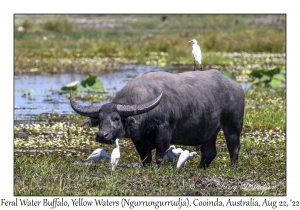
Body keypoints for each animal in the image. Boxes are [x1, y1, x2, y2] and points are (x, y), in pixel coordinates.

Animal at [70, 70, 244, 169]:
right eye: (99, 119)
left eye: (116, 118)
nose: (102, 136)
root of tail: (237, 87)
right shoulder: (139, 140)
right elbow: (145, 158)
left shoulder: (164, 134)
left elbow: (159, 156)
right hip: (210, 132)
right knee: (209, 152)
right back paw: (200, 168)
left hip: (233, 126)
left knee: (233, 148)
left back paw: (233, 167)